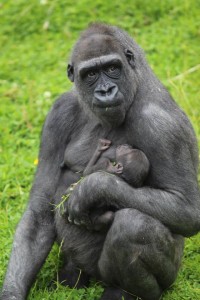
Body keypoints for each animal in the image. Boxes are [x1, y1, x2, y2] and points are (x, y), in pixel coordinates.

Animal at [1, 22, 200, 300]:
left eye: (113, 68)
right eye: (91, 74)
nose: (106, 91)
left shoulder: (162, 124)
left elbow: (186, 208)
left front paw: (92, 188)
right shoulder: (59, 112)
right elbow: (39, 210)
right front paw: (11, 292)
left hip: (168, 274)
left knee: (134, 225)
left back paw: (124, 292)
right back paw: (71, 276)